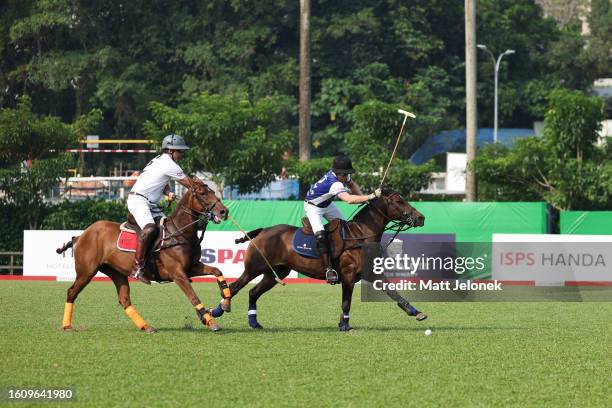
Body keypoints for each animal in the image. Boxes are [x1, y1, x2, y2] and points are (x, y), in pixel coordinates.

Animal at [56, 178, 230, 334]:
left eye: (213, 191)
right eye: (202, 193)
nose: (224, 211)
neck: (179, 232)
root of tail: (80, 236)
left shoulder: (191, 267)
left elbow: (217, 271)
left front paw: (225, 303)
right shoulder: (178, 273)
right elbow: (193, 297)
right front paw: (210, 322)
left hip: (116, 272)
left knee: (124, 299)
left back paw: (147, 327)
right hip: (87, 271)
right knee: (71, 292)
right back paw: (67, 326)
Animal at [219, 186, 426, 330]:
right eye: (399, 201)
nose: (421, 218)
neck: (361, 235)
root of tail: (263, 231)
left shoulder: (371, 273)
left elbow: (393, 292)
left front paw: (416, 312)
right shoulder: (348, 275)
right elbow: (346, 302)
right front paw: (345, 325)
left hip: (276, 272)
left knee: (253, 292)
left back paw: (254, 323)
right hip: (253, 267)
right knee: (233, 287)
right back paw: (218, 311)